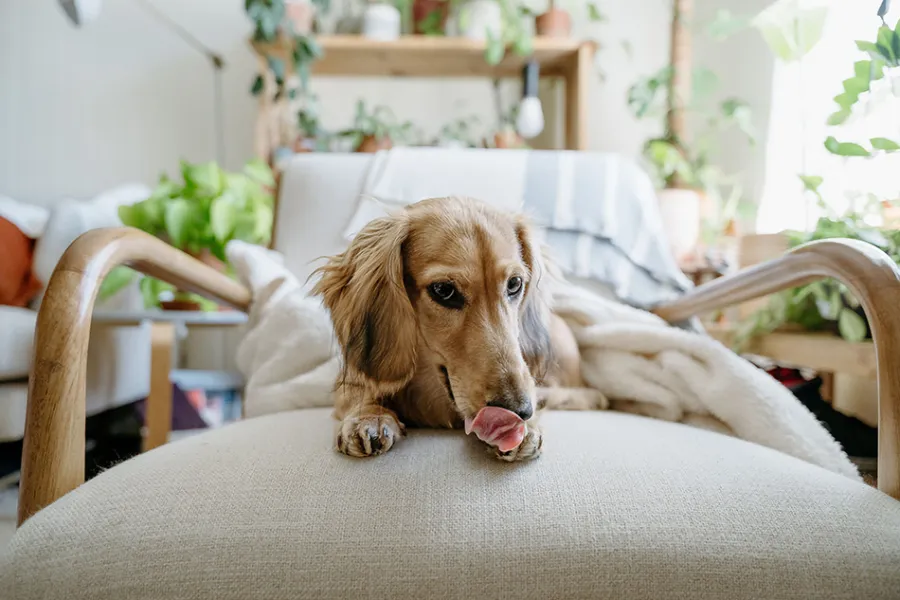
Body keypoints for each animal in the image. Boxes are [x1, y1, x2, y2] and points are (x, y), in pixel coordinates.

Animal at [312, 195, 608, 462]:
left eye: (514, 284)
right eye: (443, 290)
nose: (520, 411)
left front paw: (529, 425)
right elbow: (358, 393)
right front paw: (369, 416)